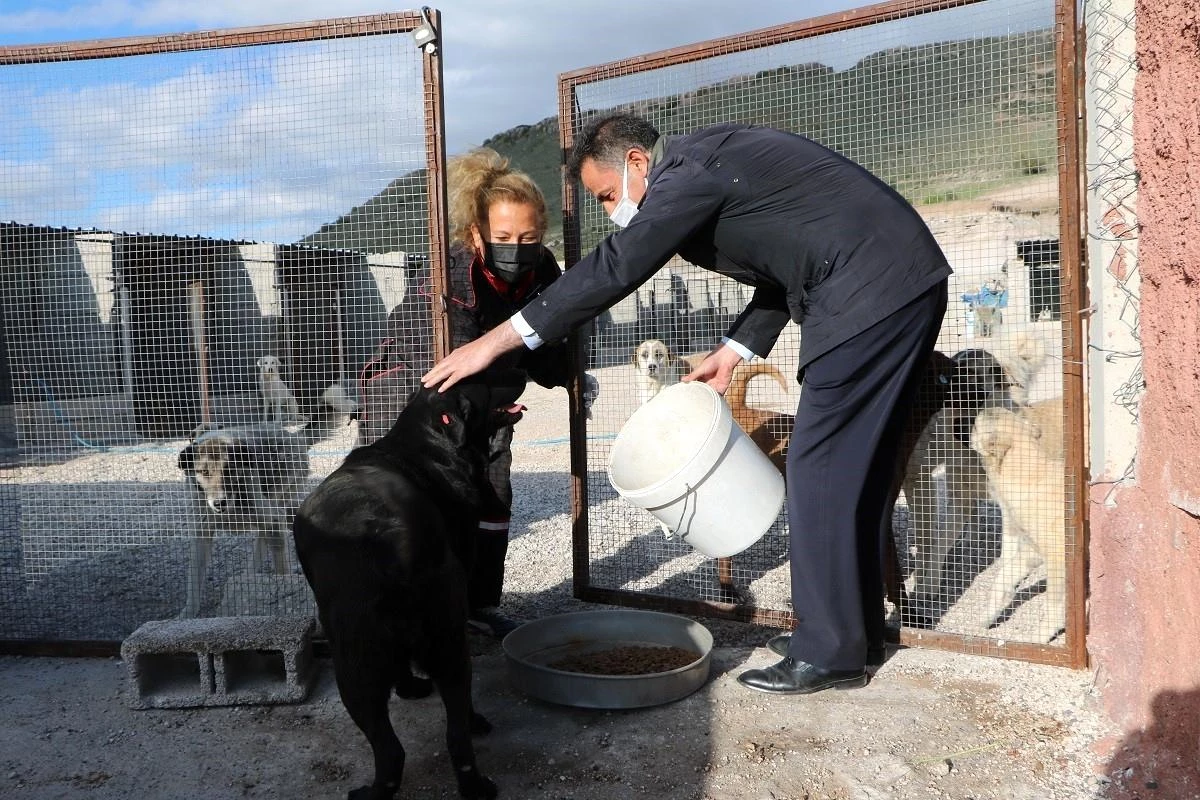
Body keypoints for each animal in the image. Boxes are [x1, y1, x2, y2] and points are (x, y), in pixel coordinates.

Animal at [176, 422, 312, 618]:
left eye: (229, 470)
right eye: (204, 471)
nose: (219, 502)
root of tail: (294, 436)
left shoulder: (271, 517)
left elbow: (281, 568)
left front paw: (284, 589)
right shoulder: (201, 533)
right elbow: (194, 578)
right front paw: (187, 614)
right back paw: (250, 576)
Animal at [292, 376, 523, 800]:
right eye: (485, 382)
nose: (518, 371)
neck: (425, 445)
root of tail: (395, 542)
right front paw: (411, 688)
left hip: (354, 667)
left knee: (391, 751)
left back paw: (372, 791)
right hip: (446, 644)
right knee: (456, 733)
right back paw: (476, 781)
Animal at [969, 398, 1065, 642]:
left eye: (975, 425)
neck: (1032, 478)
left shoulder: (1059, 559)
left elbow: (1054, 605)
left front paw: (1042, 635)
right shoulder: (1033, 550)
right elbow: (1002, 579)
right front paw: (988, 616)